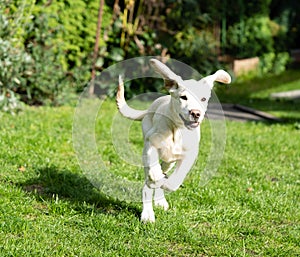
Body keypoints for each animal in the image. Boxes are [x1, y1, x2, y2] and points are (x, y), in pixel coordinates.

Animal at [116, 58, 231, 222]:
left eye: (203, 99)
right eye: (183, 97)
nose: (196, 113)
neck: (177, 130)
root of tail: (149, 109)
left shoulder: (189, 156)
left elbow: (174, 181)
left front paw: (165, 183)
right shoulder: (150, 143)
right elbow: (153, 169)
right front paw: (156, 176)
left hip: (169, 162)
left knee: (160, 175)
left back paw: (160, 199)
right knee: (147, 184)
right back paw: (148, 213)